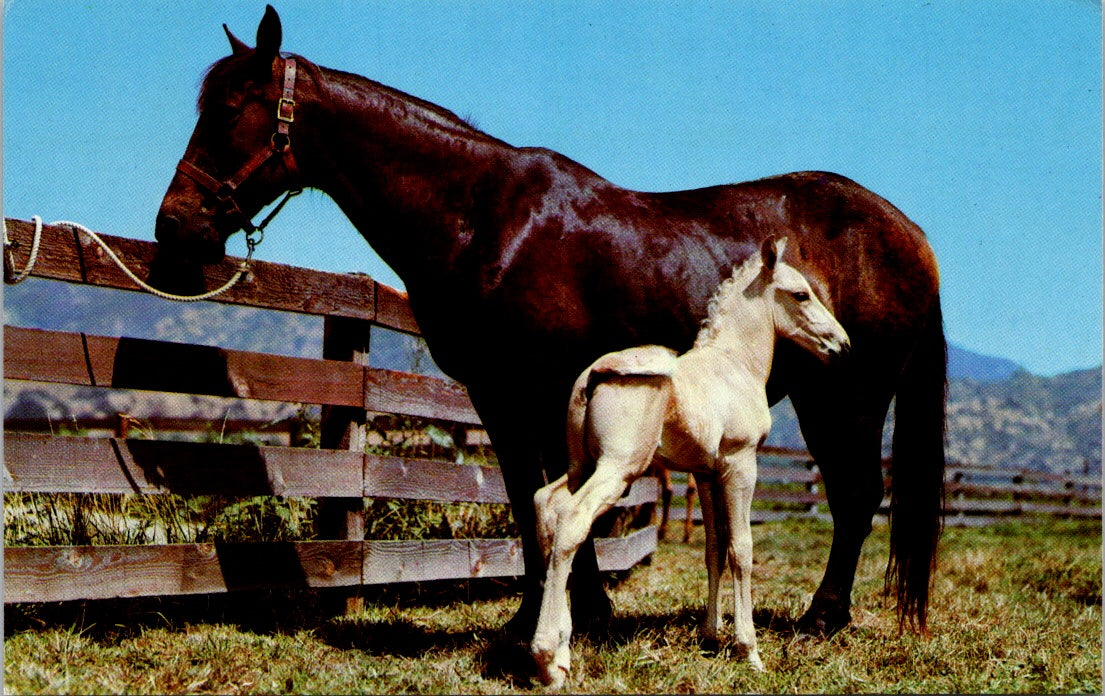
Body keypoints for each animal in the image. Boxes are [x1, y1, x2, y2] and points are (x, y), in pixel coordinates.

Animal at [155, 5, 945, 640]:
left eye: (231, 109)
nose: (174, 226)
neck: (486, 219)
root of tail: (908, 233)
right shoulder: (507, 397)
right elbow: (536, 498)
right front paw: (569, 613)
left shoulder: (526, 393)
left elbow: (546, 502)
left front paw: (555, 617)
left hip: (845, 397)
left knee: (855, 498)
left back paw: (823, 617)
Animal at [530, 237, 848, 689]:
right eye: (801, 294)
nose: (841, 344)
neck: (735, 364)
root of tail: (595, 372)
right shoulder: (740, 465)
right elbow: (741, 549)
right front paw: (749, 651)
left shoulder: (706, 473)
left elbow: (713, 548)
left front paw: (710, 635)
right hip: (617, 468)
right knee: (572, 518)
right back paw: (547, 660)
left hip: (581, 465)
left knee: (545, 503)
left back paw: (560, 649)